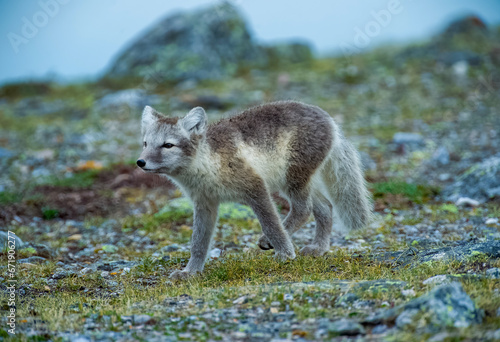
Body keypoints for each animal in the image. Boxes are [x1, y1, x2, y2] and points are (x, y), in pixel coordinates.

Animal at [137, 100, 372, 280]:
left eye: (168, 145)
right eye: (145, 143)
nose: (140, 162)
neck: (206, 163)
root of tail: (331, 121)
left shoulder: (255, 186)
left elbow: (271, 223)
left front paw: (285, 254)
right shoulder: (205, 203)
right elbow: (198, 242)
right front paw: (190, 272)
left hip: (293, 178)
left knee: (304, 210)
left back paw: (272, 242)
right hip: (300, 181)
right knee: (325, 207)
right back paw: (318, 249)